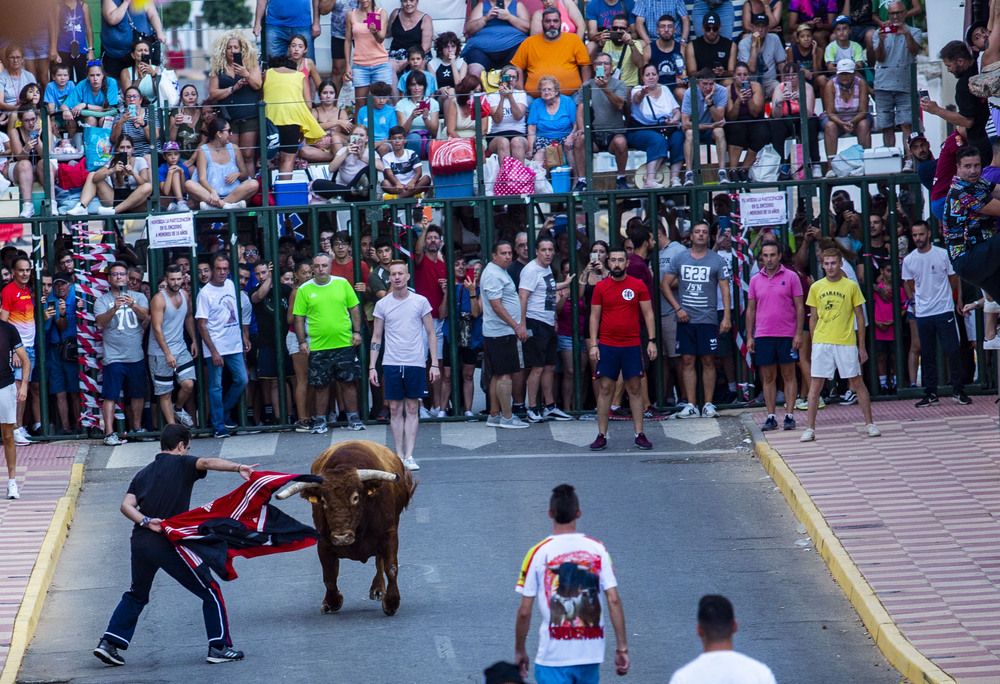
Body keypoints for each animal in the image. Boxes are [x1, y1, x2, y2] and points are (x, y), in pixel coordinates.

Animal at [276, 440, 416, 616]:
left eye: (355, 498)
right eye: (323, 501)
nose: (342, 537)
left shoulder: (389, 533)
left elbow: (391, 568)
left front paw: (391, 603)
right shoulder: (324, 542)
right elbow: (329, 576)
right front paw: (331, 602)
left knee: (380, 560)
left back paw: (378, 589)